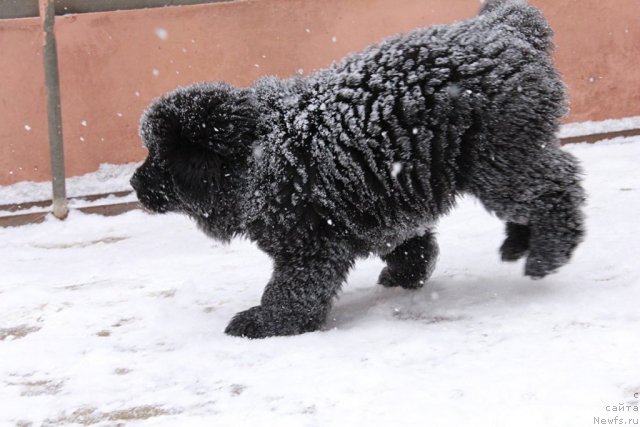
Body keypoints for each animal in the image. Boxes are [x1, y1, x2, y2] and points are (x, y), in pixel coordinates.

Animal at [130, 0, 584, 342]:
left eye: (158, 158)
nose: (134, 182)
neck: (256, 156)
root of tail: (505, 28)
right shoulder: (377, 197)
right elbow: (410, 242)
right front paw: (406, 275)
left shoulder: (309, 241)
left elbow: (290, 290)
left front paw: (264, 323)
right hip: (507, 157)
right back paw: (518, 243)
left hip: (499, 160)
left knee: (556, 189)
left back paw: (546, 254)